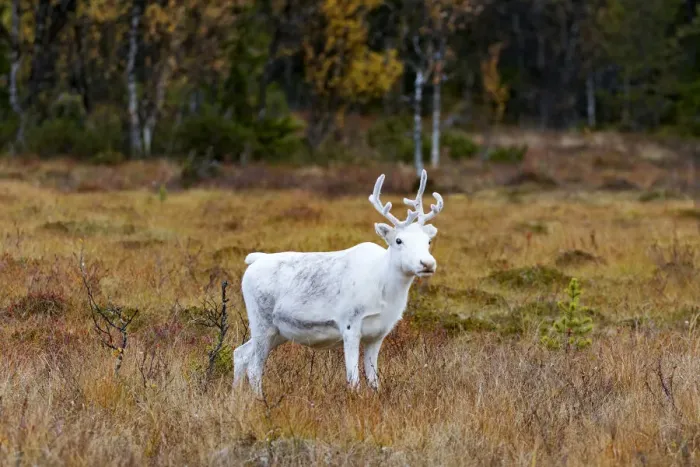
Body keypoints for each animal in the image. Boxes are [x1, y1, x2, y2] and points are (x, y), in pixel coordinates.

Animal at [233, 170, 444, 395]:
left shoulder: (378, 334)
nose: (427, 263)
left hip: (278, 331)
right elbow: (353, 379)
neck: (386, 292)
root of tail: (254, 260)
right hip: (261, 321)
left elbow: (374, 380)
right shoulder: (350, 325)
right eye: (398, 240)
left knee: (240, 353)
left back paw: (235, 395)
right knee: (254, 367)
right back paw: (259, 399)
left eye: (428, 241)